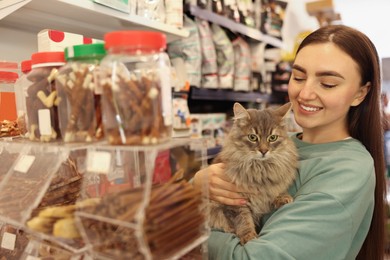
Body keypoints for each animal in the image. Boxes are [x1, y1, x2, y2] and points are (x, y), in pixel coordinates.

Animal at [210, 101, 298, 244]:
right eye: (252, 137)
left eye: (272, 138)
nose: (264, 151)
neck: (259, 168)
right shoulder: (236, 203)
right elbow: (243, 220)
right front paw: (248, 236)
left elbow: (275, 190)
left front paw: (282, 197)